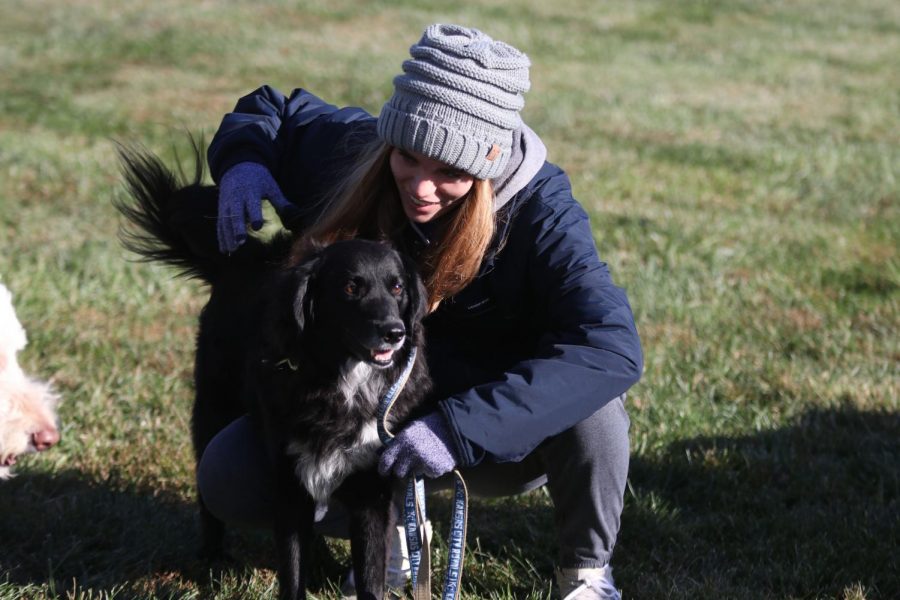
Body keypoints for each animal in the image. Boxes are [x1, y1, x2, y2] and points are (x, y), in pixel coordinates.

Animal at [114, 145, 430, 600]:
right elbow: (291, 569)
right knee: (206, 493)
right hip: (212, 410)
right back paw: (213, 557)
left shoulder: (371, 488)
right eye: (350, 287)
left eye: (397, 287)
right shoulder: (288, 480)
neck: (343, 382)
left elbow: (369, 572)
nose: (395, 333)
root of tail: (241, 264)